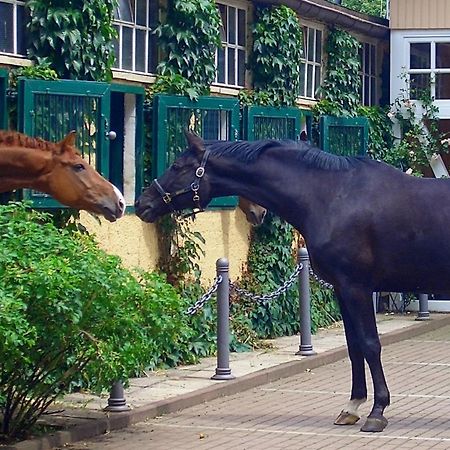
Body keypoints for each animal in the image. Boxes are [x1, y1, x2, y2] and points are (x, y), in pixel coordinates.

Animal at [135, 133, 450, 432]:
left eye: (178, 166)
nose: (142, 203)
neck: (333, 196)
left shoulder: (356, 288)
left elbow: (370, 345)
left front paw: (377, 411)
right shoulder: (342, 289)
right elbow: (354, 346)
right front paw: (352, 406)